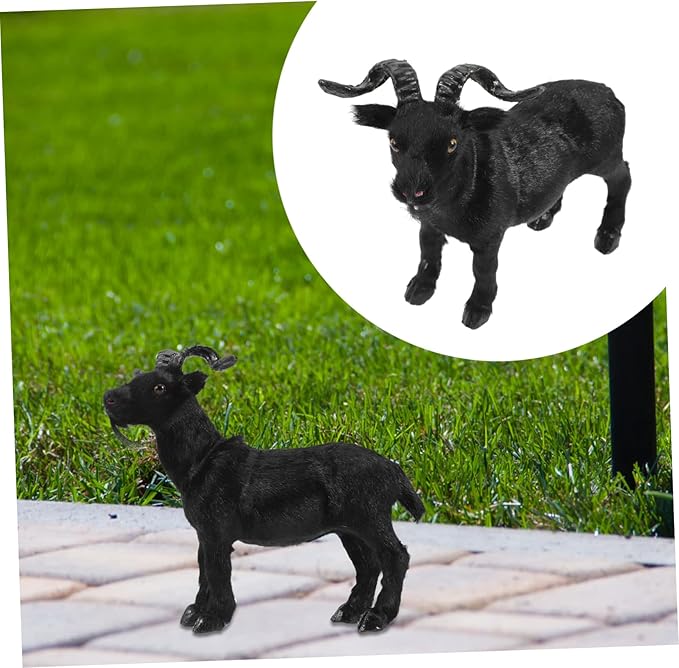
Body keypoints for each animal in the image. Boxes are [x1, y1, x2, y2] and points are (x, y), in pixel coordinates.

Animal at [103, 345, 424, 634]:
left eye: (159, 387)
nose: (108, 398)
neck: (203, 458)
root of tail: (393, 470)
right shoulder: (204, 533)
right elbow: (203, 570)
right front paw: (194, 612)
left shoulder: (217, 533)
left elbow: (217, 572)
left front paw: (211, 620)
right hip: (350, 528)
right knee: (368, 565)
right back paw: (348, 612)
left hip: (369, 517)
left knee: (395, 557)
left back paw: (376, 618)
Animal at [319, 61, 631, 329]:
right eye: (393, 141)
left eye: (452, 143)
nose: (411, 191)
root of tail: (608, 91)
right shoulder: (428, 224)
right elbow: (427, 251)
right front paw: (419, 289)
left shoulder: (489, 236)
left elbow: (483, 270)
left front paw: (477, 311)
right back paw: (543, 217)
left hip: (607, 156)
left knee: (623, 178)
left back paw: (608, 236)